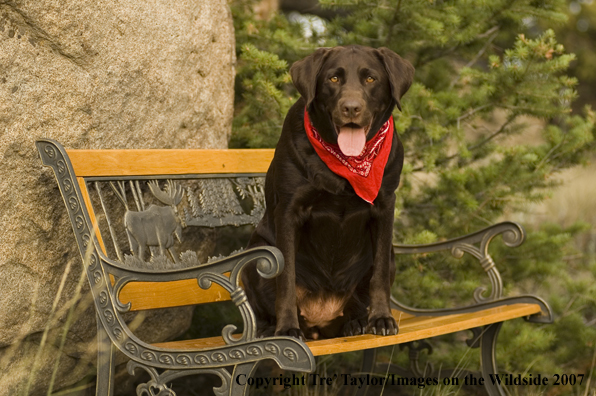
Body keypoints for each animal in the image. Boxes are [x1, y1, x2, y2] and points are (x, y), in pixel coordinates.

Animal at [242, 44, 414, 338]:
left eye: (371, 79)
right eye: (333, 78)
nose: (351, 108)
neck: (348, 165)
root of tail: (319, 321)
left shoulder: (384, 206)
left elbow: (379, 275)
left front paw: (381, 318)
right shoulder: (289, 210)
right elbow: (285, 279)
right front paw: (287, 328)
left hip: (389, 256)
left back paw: (356, 322)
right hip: (256, 256)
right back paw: (269, 329)